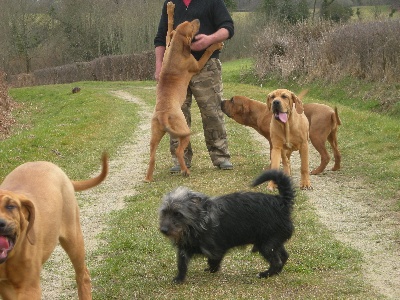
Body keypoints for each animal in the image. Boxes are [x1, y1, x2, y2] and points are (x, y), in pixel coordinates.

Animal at [145, 1, 225, 180]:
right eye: (192, 27)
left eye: (187, 23)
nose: (197, 19)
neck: (176, 49)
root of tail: (163, 115)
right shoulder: (196, 65)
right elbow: (206, 51)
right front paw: (215, 44)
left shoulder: (168, 42)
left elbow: (168, 29)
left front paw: (170, 8)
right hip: (184, 132)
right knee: (179, 151)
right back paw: (185, 171)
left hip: (155, 135)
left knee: (152, 156)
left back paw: (148, 178)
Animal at [159, 170, 294, 282]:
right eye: (164, 212)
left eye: (178, 214)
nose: (163, 230)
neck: (196, 223)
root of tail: (281, 201)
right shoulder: (184, 249)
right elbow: (181, 265)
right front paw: (179, 278)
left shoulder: (217, 249)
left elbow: (213, 260)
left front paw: (213, 269)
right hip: (273, 241)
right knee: (284, 256)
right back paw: (276, 273)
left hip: (266, 245)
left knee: (277, 262)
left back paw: (266, 274)